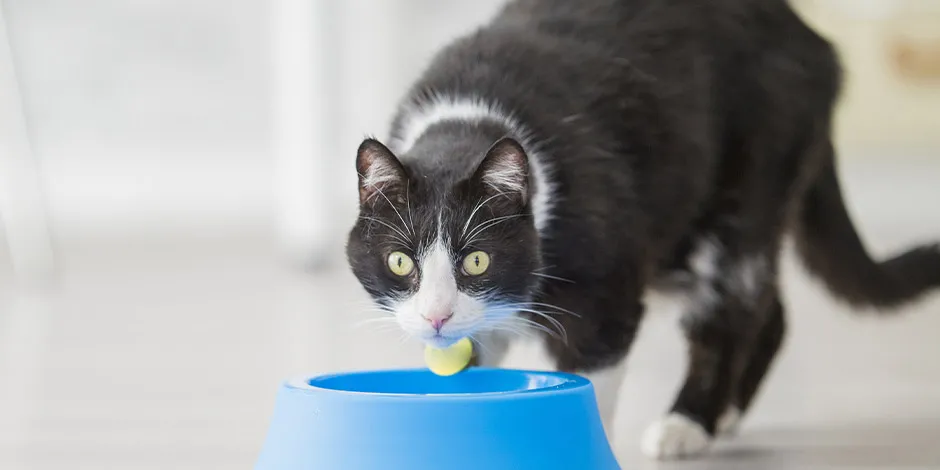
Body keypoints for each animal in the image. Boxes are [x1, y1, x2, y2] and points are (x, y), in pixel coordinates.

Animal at [344, 0, 940, 460]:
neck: (469, 125)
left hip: (748, 185)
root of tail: (811, 38)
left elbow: (594, 372)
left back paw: (689, 424)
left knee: (731, 307)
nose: (437, 315)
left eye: (476, 260)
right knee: (769, 310)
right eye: (400, 261)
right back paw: (725, 415)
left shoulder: (602, 295)